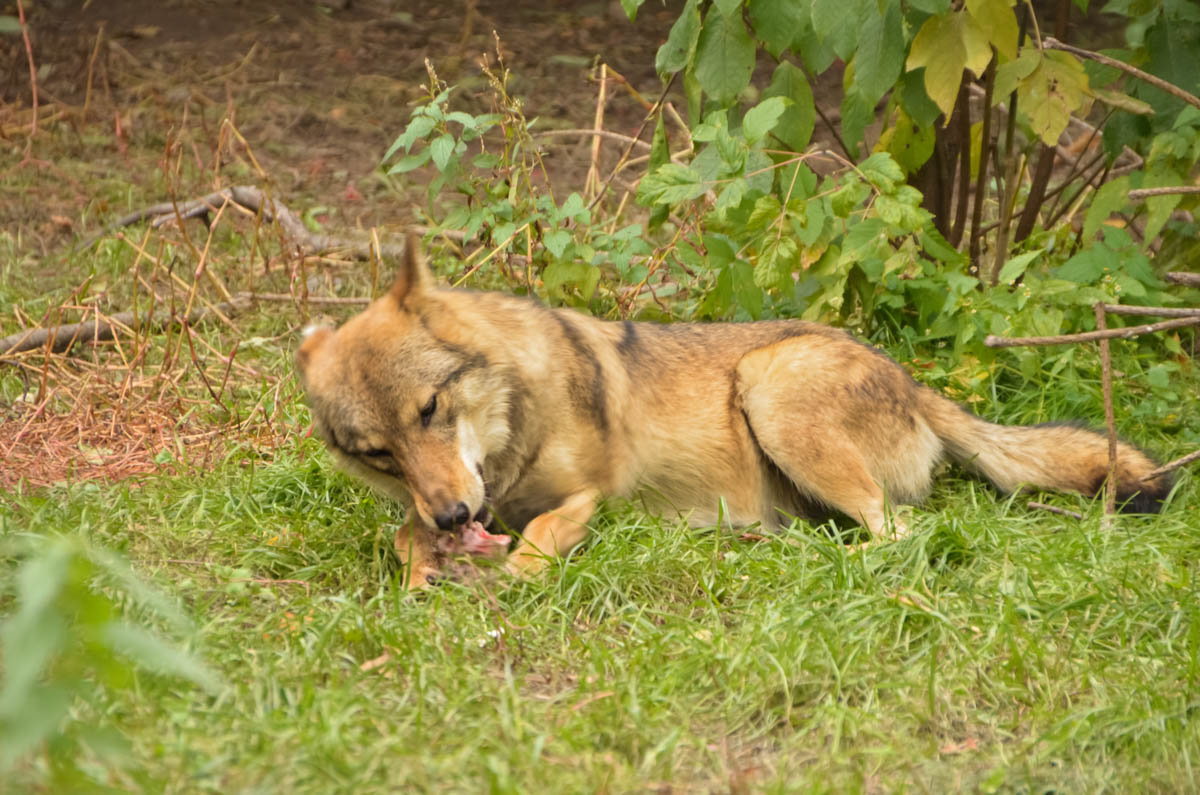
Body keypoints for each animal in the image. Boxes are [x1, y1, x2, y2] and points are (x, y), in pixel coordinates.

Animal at [297, 236, 1171, 590]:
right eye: (377, 453)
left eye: (432, 408)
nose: (454, 516)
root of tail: (911, 380)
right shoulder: (445, 501)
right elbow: (402, 535)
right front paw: (424, 569)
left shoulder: (589, 496)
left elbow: (541, 535)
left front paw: (509, 574)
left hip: (769, 383)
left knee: (897, 534)